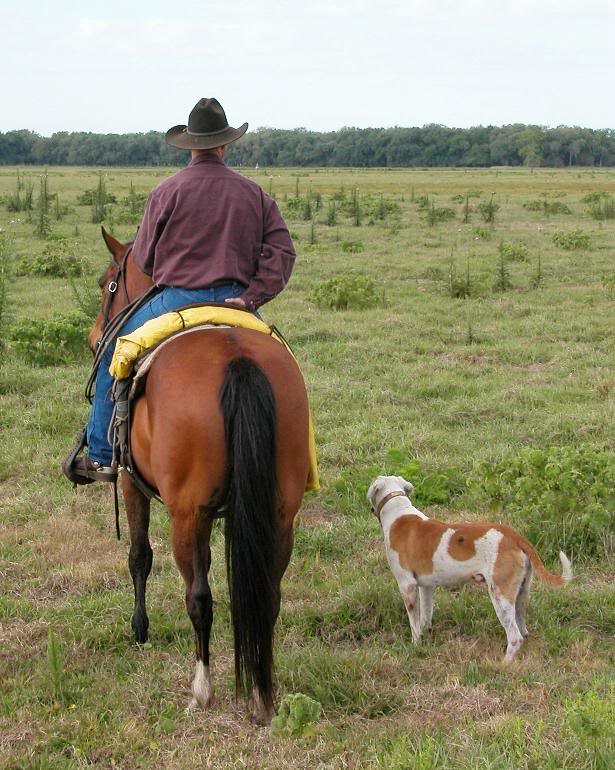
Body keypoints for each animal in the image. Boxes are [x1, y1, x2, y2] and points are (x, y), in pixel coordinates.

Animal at [90, 228, 311, 725]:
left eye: (108, 284)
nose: (96, 338)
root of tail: (237, 359)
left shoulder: (133, 483)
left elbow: (139, 555)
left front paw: (140, 629)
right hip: (279, 511)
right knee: (267, 594)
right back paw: (261, 693)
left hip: (185, 513)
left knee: (198, 598)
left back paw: (202, 689)